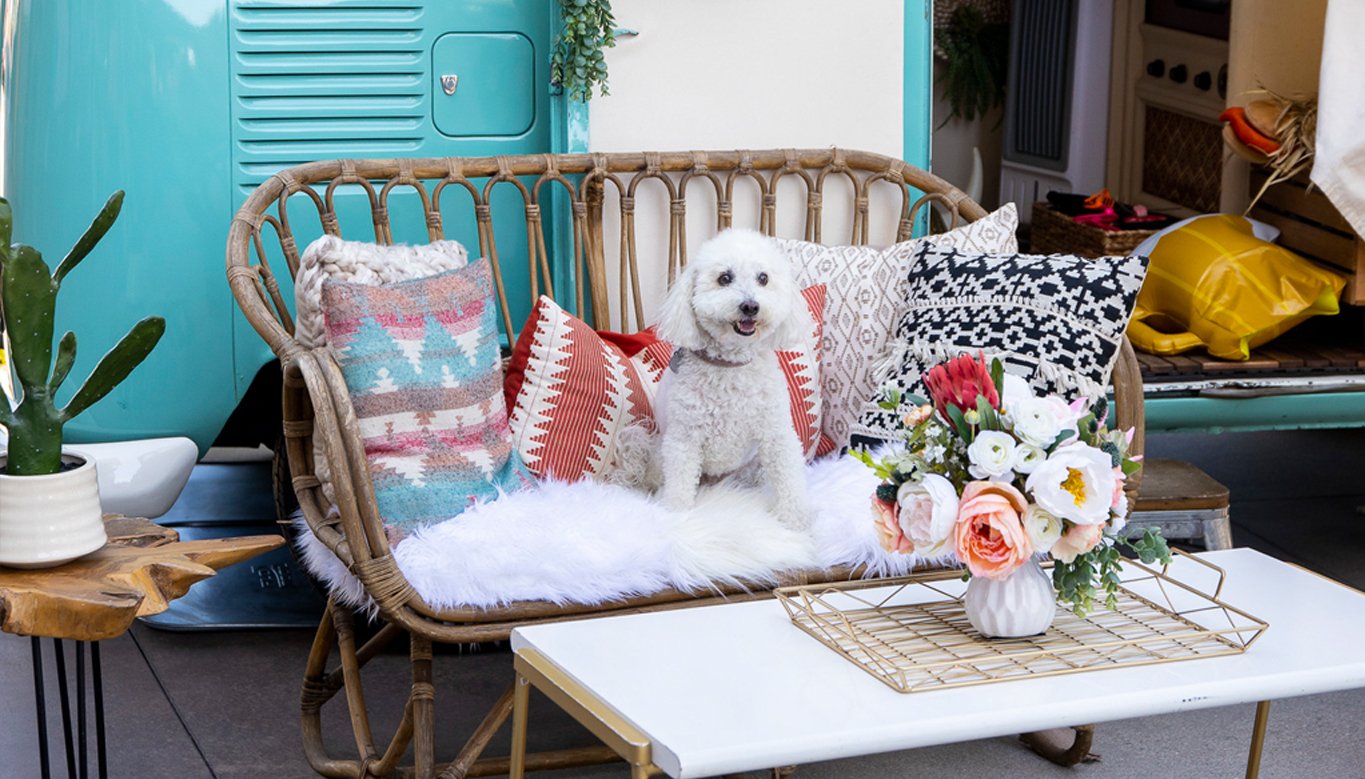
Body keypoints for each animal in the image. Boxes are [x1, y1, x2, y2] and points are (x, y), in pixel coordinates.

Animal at [616, 226, 808, 529]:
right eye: (724, 278)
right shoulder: (684, 441)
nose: (750, 306)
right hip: (661, 454)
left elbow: (789, 476)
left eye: (763, 278)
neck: (729, 366)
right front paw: (678, 517)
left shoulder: (776, 432)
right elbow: (680, 486)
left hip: (752, 466)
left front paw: (794, 520)